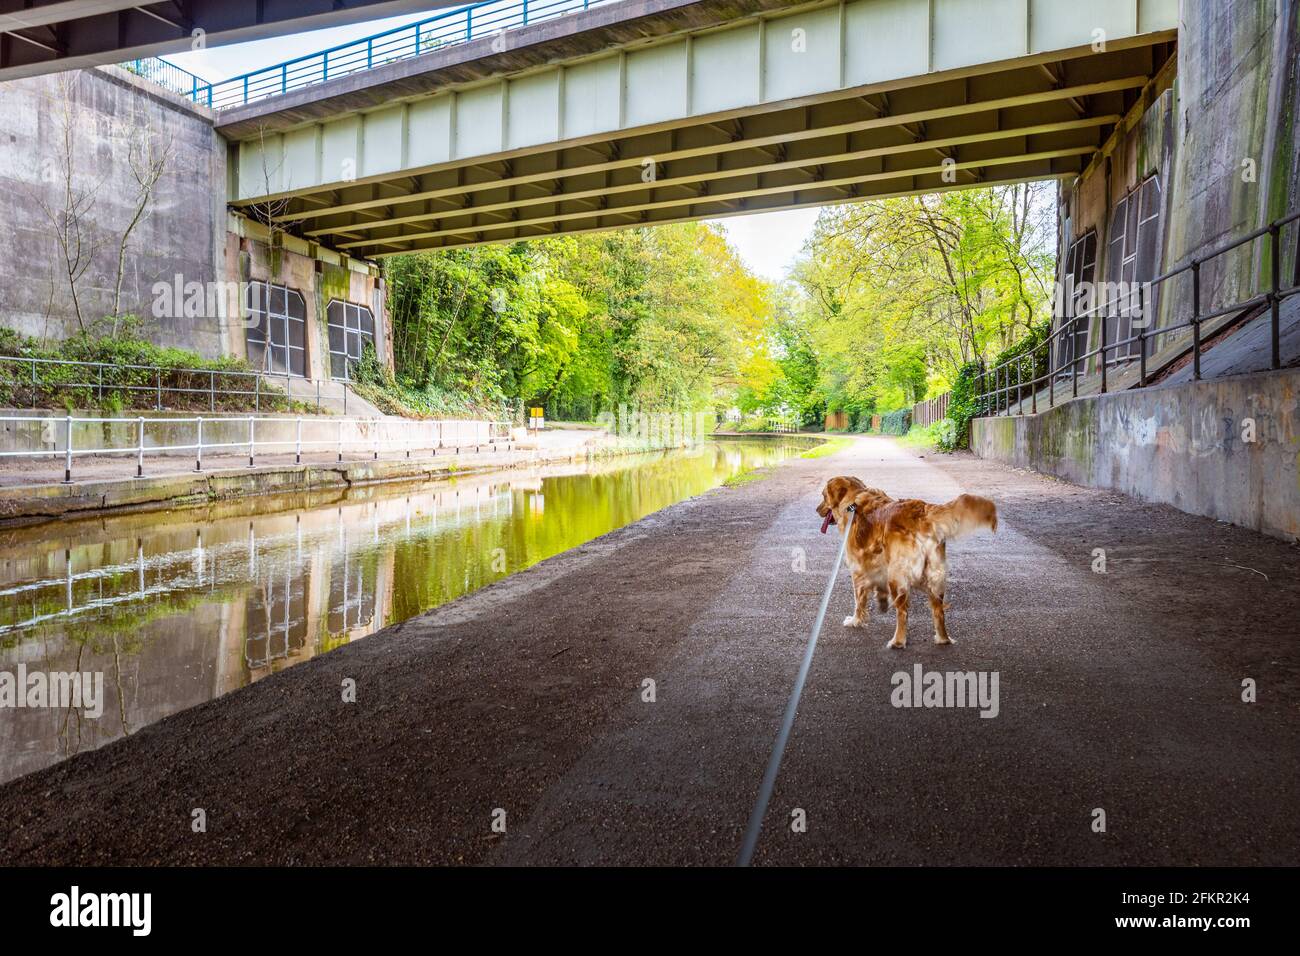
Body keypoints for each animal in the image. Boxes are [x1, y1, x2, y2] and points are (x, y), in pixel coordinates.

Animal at [816, 476, 998, 650]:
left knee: (902, 611)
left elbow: (858, 600)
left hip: (897, 575)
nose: (817, 510)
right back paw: (943, 639)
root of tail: (922, 513)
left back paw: (898, 641)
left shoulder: (858, 568)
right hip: (935, 575)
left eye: (823, 496)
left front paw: (855, 621)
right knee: (938, 610)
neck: (853, 501)